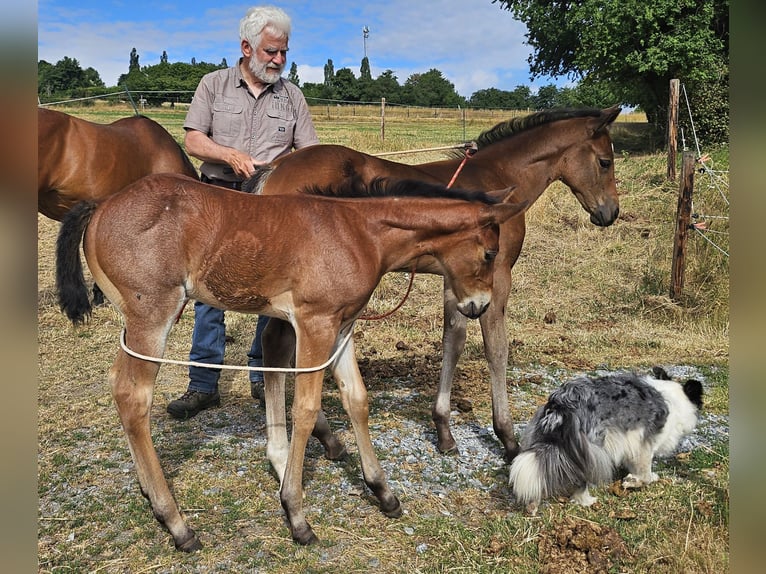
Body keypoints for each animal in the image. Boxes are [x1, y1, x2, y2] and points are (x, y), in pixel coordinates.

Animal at [55, 173, 528, 549]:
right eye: (490, 253)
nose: (479, 306)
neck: (358, 232)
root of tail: (101, 207)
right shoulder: (314, 323)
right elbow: (304, 409)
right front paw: (296, 515)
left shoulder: (343, 325)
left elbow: (357, 400)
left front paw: (383, 492)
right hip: (153, 314)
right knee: (133, 397)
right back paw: (177, 524)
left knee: (120, 390)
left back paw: (150, 495)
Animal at [246, 106, 622, 461]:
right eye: (605, 162)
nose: (610, 213)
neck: (502, 175)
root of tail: (274, 168)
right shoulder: (498, 275)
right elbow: (496, 348)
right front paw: (508, 437)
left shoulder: (459, 279)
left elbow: (453, 339)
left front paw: (443, 430)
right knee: (280, 344)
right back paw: (326, 438)